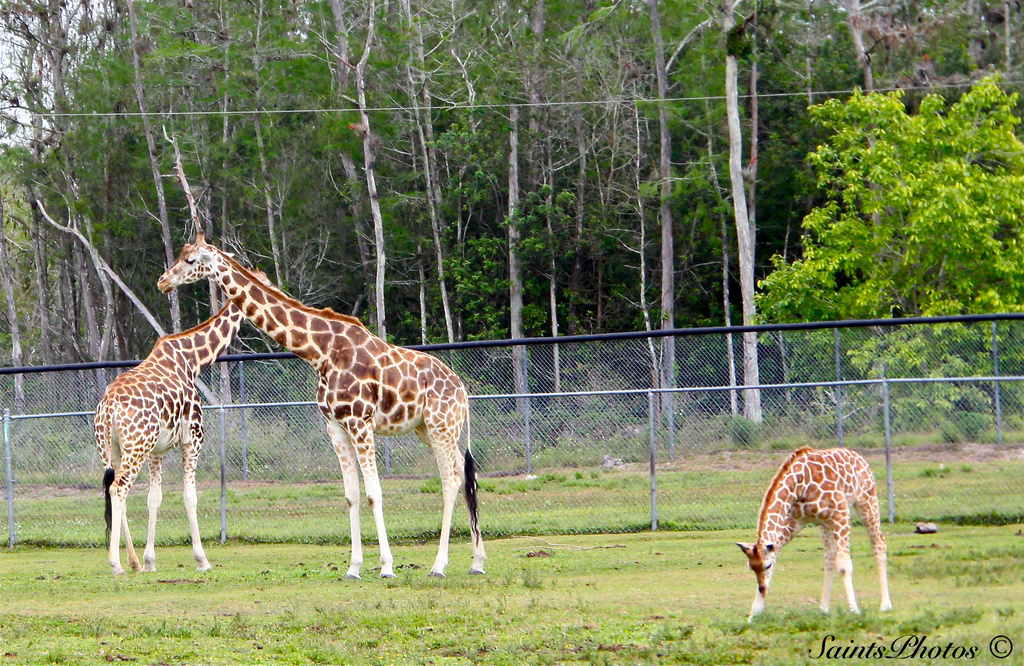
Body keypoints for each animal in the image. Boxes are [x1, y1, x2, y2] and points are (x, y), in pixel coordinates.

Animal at [97, 299, 245, 573]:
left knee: (113, 489)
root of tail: (109, 406)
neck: (191, 360)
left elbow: (154, 498)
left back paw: (132, 561)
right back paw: (116, 564)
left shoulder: (157, 450)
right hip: (136, 448)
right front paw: (202, 559)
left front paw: (148, 561)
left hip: (111, 451)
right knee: (119, 489)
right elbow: (190, 496)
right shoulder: (193, 439)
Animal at [155, 233, 483, 573]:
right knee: (465, 477)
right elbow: (351, 494)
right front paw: (354, 568)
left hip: (442, 425)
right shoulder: (335, 425)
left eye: (191, 260)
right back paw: (477, 561)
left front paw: (386, 566)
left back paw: (439, 565)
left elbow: (374, 493)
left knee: (451, 480)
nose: (162, 281)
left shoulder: (360, 422)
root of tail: (461, 389)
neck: (321, 352)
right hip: (429, 429)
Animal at [733, 442, 892, 618]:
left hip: (866, 501)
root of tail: (859, 456)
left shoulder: (841, 515)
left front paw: (854, 610)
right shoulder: (795, 522)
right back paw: (824, 609)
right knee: (830, 559)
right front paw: (754, 613)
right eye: (751, 567)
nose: (762, 589)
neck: (800, 484)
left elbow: (845, 565)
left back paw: (885, 604)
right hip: (825, 524)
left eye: (767, 565)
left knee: (879, 542)